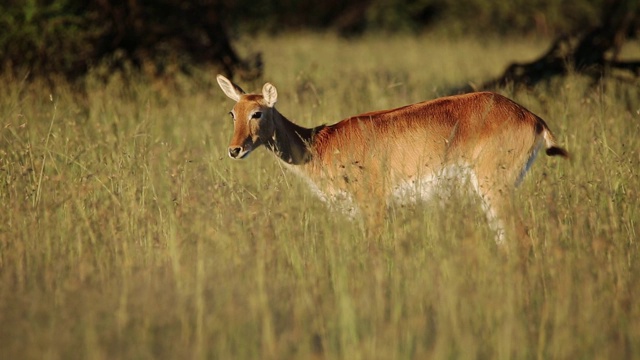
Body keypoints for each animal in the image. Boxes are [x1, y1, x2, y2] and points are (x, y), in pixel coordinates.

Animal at [218, 75, 568, 246]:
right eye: (232, 112)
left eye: (257, 112)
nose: (234, 150)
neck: (320, 144)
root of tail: (534, 119)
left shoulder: (373, 204)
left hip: (494, 187)